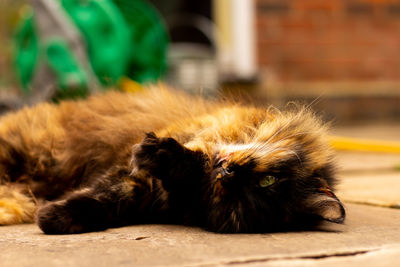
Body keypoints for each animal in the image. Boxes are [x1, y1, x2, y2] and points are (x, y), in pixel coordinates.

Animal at [0, 87, 346, 234]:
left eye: (233, 200)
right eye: (267, 180)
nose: (227, 173)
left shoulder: (145, 189)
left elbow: (107, 200)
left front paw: (54, 218)